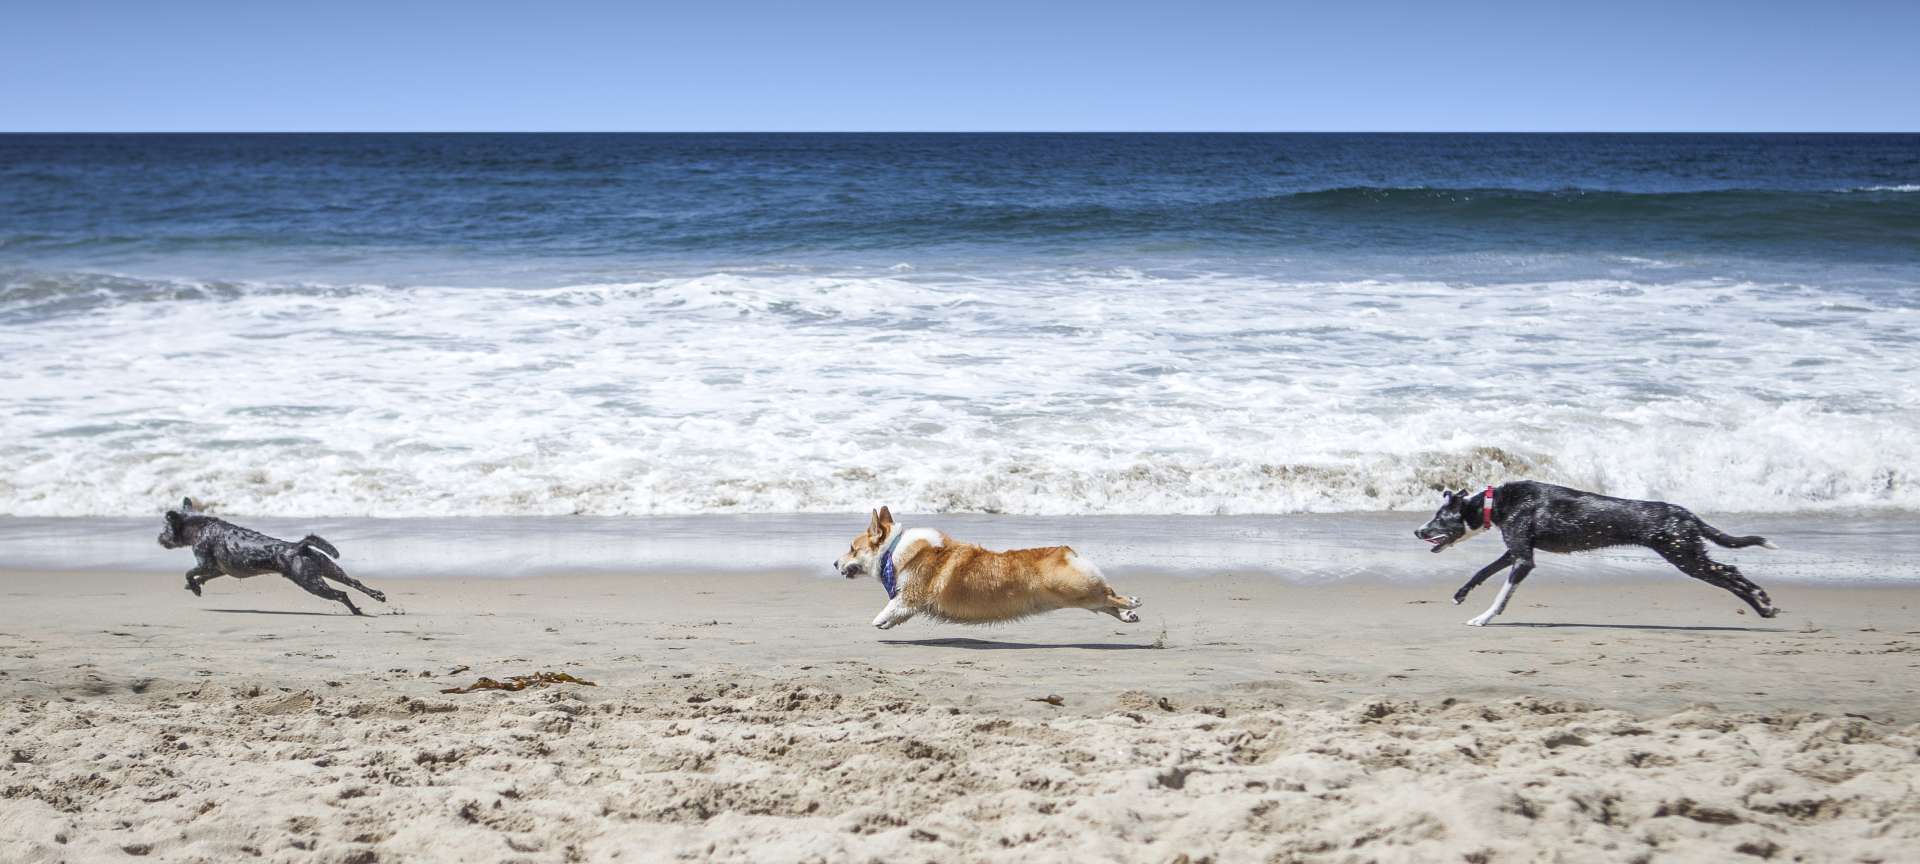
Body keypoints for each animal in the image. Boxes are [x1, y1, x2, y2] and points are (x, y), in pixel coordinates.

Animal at [157, 499, 385, 614]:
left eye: (165, 529)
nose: (159, 539)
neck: (200, 526)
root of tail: (299, 546)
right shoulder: (218, 570)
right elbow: (200, 577)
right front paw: (194, 586)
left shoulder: (206, 563)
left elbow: (189, 573)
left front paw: (194, 587)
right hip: (330, 569)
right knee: (355, 583)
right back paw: (376, 596)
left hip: (311, 583)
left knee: (340, 594)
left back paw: (355, 610)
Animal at [1413, 480, 1781, 625]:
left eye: (1439, 518)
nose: (1418, 531)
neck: (1496, 503)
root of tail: (1687, 514)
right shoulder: (1515, 552)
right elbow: (1482, 572)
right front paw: (1461, 594)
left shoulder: (1524, 560)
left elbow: (1501, 594)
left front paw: (1484, 617)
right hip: (1689, 554)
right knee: (1731, 572)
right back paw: (1763, 605)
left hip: (1686, 557)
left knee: (1730, 575)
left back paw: (1762, 603)